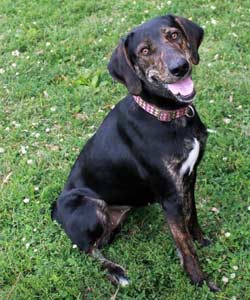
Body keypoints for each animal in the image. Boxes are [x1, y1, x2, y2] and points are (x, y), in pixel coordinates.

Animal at [51, 13, 220, 290]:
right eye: (144, 51)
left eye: (174, 35)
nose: (180, 67)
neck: (166, 115)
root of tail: (54, 209)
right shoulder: (170, 195)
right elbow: (186, 247)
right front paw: (200, 282)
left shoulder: (189, 178)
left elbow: (192, 216)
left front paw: (202, 240)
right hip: (88, 204)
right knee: (89, 250)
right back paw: (116, 270)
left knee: (103, 240)